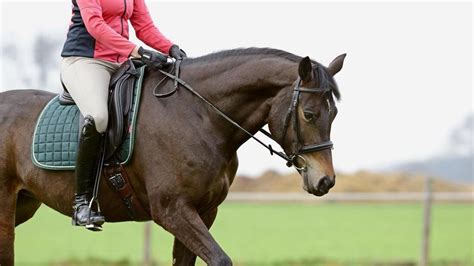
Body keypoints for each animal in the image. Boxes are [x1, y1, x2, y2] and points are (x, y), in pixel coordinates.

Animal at [1, 48, 346, 266]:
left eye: (334, 113)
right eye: (309, 114)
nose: (325, 181)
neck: (200, 116)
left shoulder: (204, 211)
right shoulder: (172, 210)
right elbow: (220, 259)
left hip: (24, 204)